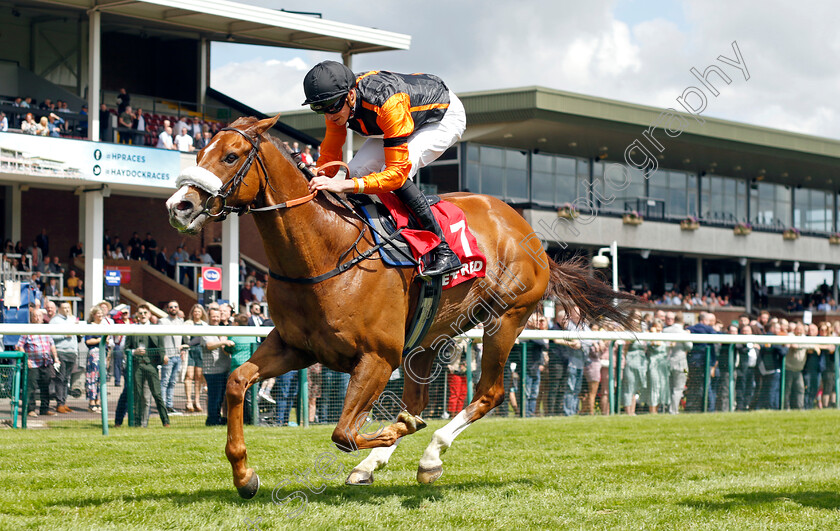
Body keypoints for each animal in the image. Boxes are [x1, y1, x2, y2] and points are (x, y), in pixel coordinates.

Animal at [166, 115, 636, 498]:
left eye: (230, 156)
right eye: (199, 152)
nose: (179, 206)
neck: (324, 251)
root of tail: (531, 234)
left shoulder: (378, 356)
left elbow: (344, 432)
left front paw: (397, 432)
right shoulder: (295, 346)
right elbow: (236, 382)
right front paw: (244, 476)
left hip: (505, 318)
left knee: (489, 393)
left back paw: (430, 457)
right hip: (430, 336)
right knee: (419, 399)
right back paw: (374, 464)